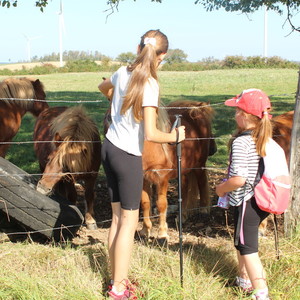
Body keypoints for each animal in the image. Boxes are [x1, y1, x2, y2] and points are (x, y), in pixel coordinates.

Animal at [139, 101, 217, 241]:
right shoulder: (144, 178)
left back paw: (203, 209)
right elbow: (145, 202)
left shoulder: (162, 179)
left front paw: (162, 233)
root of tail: (197, 107)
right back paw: (183, 216)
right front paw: (145, 230)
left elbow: (161, 204)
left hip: (199, 166)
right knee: (185, 189)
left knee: (202, 182)